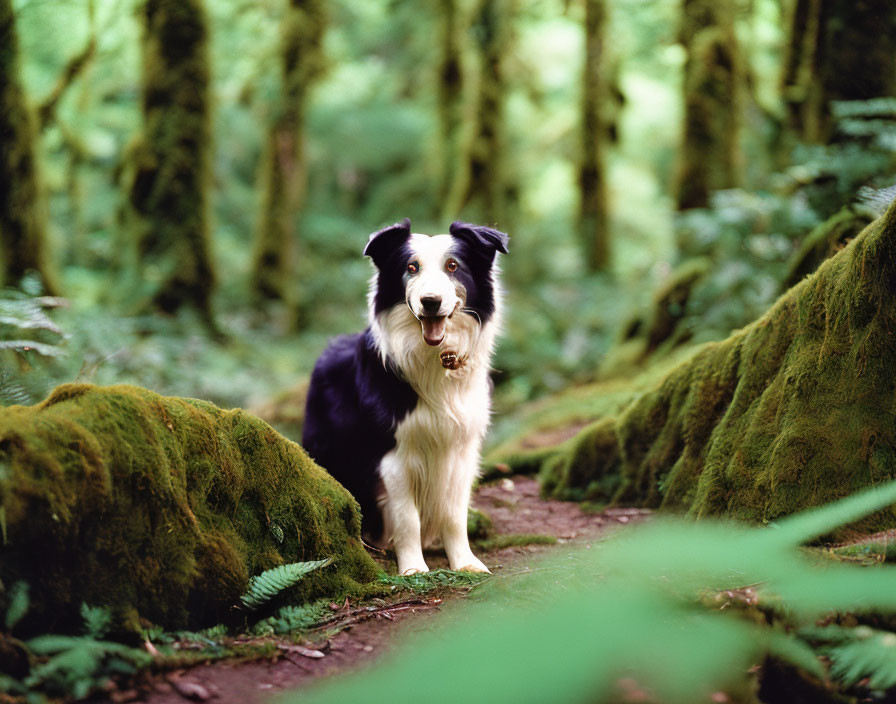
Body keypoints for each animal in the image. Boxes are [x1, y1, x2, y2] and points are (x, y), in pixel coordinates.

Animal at [304, 221, 508, 576]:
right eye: (411, 268)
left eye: (453, 266)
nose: (431, 301)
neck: (434, 360)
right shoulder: (393, 455)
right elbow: (407, 517)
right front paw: (413, 568)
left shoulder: (462, 450)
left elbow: (455, 514)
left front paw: (465, 562)